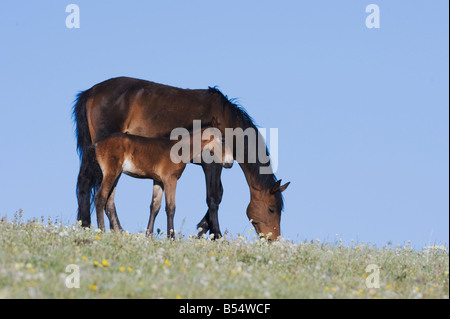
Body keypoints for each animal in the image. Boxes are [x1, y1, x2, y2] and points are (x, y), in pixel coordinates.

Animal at [92, 117, 230, 238]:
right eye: (223, 140)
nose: (229, 162)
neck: (179, 150)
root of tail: (98, 144)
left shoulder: (158, 181)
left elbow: (154, 207)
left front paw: (149, 236)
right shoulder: (170, 179)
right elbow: (170, 207)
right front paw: (171, 237)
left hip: (117, 175)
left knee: (109, 203)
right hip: (111, 172)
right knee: (100, 197)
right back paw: (102, 231)